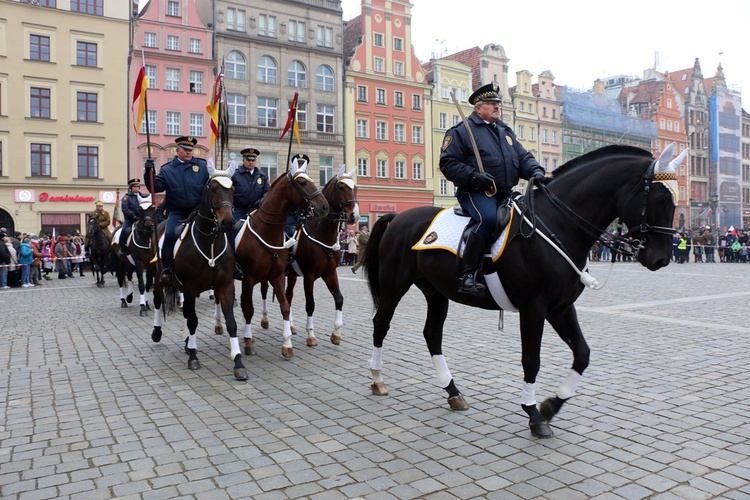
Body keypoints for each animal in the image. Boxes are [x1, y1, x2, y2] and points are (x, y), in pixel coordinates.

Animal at [162, 163, 247, 378]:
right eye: (213, 189)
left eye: (233, 190)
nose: (227, 222)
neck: (210, 243)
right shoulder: (190, 288)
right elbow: (193, 321)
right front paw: (193, 357)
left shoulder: (225, 286)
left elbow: (231, 323)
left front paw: (238, 362)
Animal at [235, 160, 328, 360]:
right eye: (302, 183)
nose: (325, 206)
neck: (266, 231)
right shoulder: (248, 278)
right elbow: (248, 308)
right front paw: (248, 342)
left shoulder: (277, 275)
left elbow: (285, 305)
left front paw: (287, 345)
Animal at [262, 166, 360, 346]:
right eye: (342, 187)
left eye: (355, 188)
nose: (354, 216)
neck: (322, 234)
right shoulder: (309, 275)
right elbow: (310, 304)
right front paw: (311, 335)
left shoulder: (330, 273)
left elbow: (339, 298)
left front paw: (336, 333)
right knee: (266, 291)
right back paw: (265, 319)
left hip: (291, 275)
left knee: (288, 295)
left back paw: (291, 325)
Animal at [362, 144, 688, 438]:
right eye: (659, 197)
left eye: (675, 199)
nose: (661, 258)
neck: (555, 225)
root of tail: (398, 217)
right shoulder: (534, 308)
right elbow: (532, 359)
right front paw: (534, 413)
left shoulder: (560, 308)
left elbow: (582, 354)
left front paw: (551, 405)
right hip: (394, 285)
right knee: (381, 324)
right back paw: (377, 378)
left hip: (437, 293)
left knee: (432, 335)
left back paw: (452, 391)